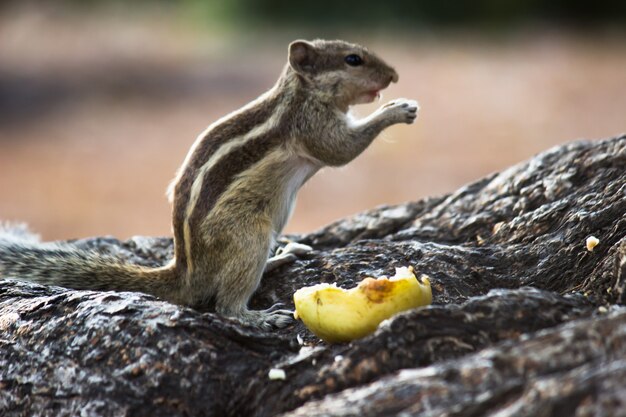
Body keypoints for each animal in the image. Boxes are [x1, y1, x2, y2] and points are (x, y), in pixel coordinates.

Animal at [2, 39, 420, 328]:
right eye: (353, 60)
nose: (395, 76)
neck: (298, 91)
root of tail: (188, 273)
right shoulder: (312, 125)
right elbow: (341, 150)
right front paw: (396, 109)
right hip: (248, 235)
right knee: (226, 304)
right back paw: (258, 317)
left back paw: (282, 256)